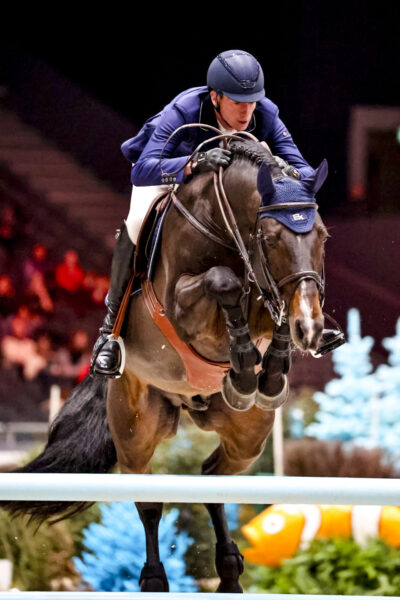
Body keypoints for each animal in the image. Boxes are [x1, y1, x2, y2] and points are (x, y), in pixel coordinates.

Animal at [1, 136, 330, 592]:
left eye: (322, 236)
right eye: (270, 238)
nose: (310, 327)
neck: (224, 224)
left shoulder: (267, 295)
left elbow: (270, 307)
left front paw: (269, 371)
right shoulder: (183, 306)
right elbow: (223, 282)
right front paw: (247, 361)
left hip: (247, 436)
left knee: (211, 478)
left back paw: (230, 569)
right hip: (134, 428)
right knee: (149, 501)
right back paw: (155, 578)